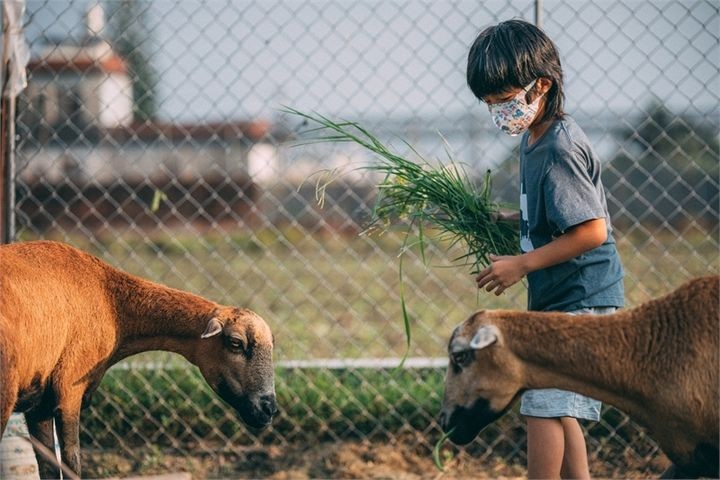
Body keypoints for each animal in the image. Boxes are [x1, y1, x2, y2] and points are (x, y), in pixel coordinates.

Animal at [0, 242, 278, 478]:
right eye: (235, 343)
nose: (269, 409)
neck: (113, 304)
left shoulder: (40, 405)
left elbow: (48, 467)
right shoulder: (69, 389)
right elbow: (72, 464)